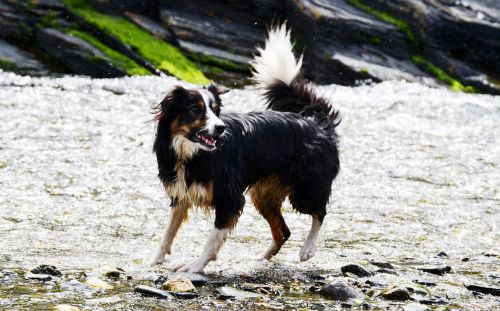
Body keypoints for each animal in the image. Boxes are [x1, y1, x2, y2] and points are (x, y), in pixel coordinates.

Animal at [149, 23, 340, 272]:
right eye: (195, 109)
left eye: (214, 110)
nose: (221, 128)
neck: (191, 153)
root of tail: (316, 123)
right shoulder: (181, 193)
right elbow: (167, 233)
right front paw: (154, 261)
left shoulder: (229, 197)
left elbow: (213, 238)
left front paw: (195, 266)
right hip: (263, 195)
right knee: (284, 231)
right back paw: (262, 259)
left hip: (305, 188)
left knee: (319, 212)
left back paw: (307, 249)